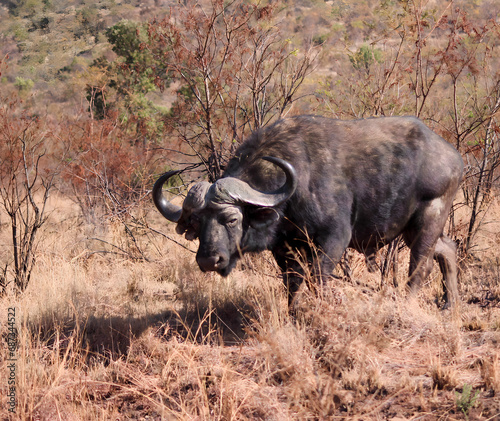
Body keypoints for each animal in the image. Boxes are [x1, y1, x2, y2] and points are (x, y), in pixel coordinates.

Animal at [153, 116, 464, 306]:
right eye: (197, 223)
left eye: (230, 218)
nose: (208, 260)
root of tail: (454, 156)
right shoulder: (285, 250)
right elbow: (291, 285)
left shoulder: (334, 240)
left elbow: (318, 280)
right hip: (413, 228)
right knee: (447, 249)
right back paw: (450, 305)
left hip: (429, 218)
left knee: (420, 265)